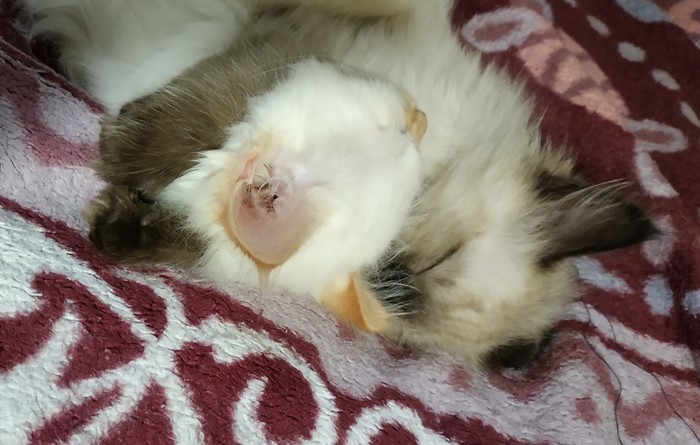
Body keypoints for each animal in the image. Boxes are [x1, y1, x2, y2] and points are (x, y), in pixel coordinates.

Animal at [26, 0, 657, 366]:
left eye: (401, 333)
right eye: (443, 259)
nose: (389, 279)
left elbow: (208, 238)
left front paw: (120, 225)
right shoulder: (294, 55)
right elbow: (202, 117)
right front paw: (122, 152)